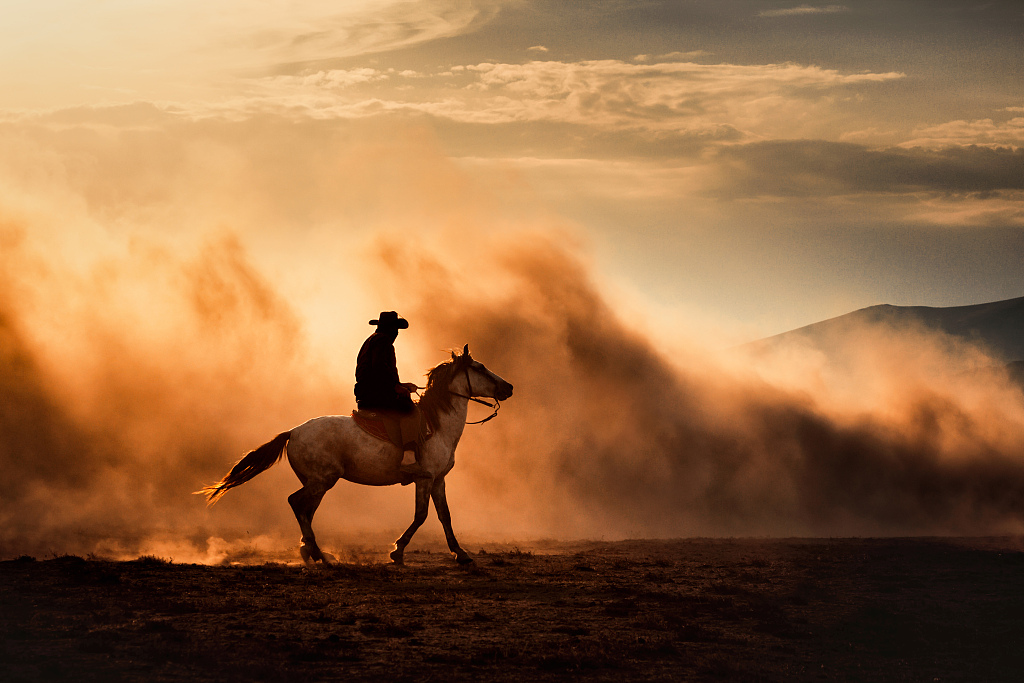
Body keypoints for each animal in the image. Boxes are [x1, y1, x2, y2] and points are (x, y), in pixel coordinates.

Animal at [198, 348, 512, 565]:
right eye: (480, 367)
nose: (508, 387)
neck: (437, 425)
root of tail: (294, 432)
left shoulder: (438, 480)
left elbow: (445, 515)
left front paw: (461, 553)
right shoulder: (425, 478)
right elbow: (421, 516)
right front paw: (397, 551)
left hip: (319, 483)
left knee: (306, 510)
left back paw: (314, 551)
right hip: (322, 480)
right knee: (296, 504)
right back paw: (318, 554)